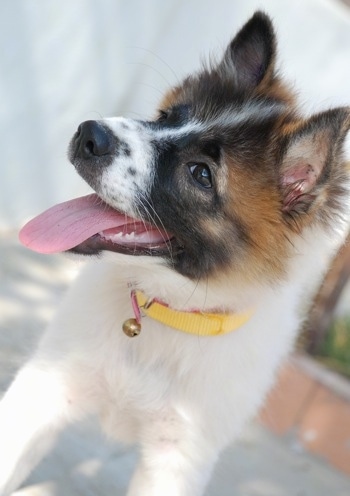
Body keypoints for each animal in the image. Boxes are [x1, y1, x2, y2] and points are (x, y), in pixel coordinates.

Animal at [0, 11, 350, 496]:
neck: (165, 311)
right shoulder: (43, 390)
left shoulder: (178, 459)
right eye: (167, 117)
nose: (88, 134)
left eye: (200, 174)